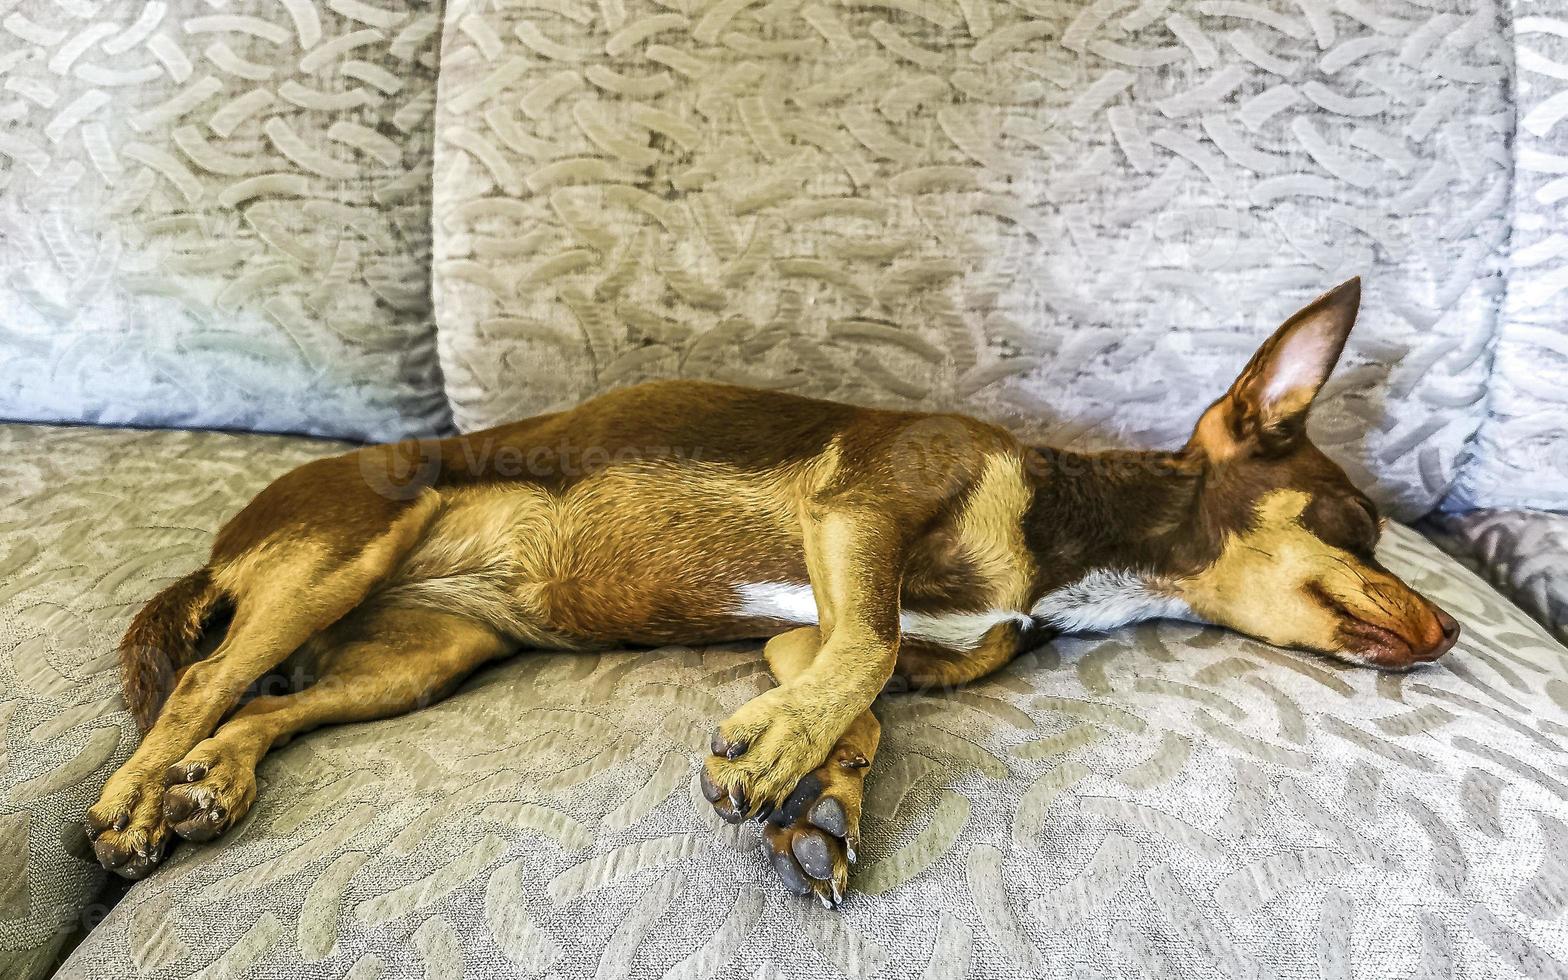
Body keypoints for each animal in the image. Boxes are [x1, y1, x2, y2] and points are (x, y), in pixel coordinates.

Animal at [85, 275, 1455, 903]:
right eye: (1361, 526)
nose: (1448, 629)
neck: (1069, 536)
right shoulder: (855, 512)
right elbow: (868, 650)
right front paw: (780, 761)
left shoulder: (814, 632)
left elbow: (862, 693)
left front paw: (818, 791)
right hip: (347, 546)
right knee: (199, 681)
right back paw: (138, 791)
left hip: (418, 656)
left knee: (267, 704)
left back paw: (212, 780)